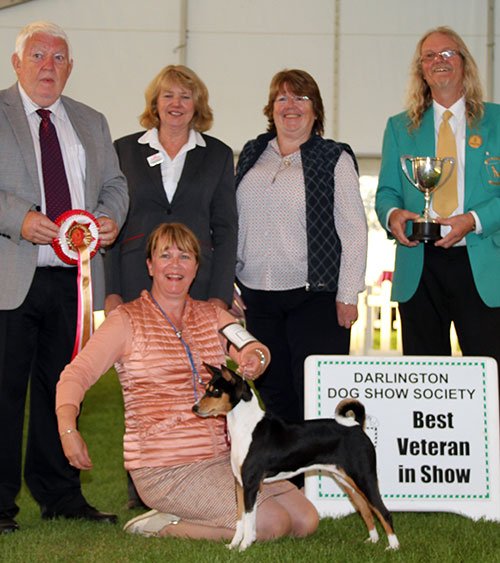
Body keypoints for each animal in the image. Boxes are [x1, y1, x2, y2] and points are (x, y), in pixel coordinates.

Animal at [191, 364, 398, 552]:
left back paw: (393, 546)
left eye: (216, 391)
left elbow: (250, 519)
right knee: (365, 509)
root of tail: (356, 426)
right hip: (347, 481)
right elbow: (240, 519)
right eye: (206, 388)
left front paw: (245, 546)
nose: (194, 407)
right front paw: (233, 545)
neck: (246, 427)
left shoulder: (251, 484)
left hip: (364, 478)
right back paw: (373, 540)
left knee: (383, 512)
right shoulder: (239, 484)